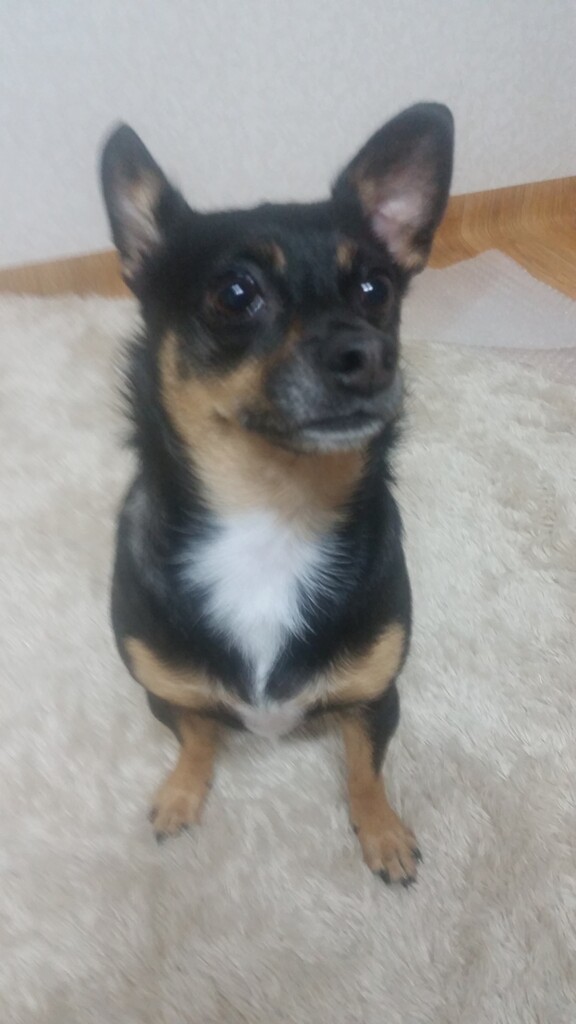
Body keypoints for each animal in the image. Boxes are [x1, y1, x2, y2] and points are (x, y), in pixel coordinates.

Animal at [101, 103, 453, 885]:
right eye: (235, 295)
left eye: (377, 291)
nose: (371, 354)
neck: (273, 513)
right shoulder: (165, 693)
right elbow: (197, 738)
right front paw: (182, 794)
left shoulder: (376, 697)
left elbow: (364, 767)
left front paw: (381, 832)